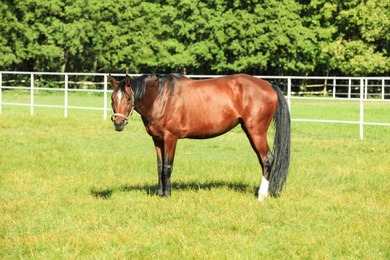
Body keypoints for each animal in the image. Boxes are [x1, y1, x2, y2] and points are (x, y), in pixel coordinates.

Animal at [109, 73, 290, 201]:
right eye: (112, 99)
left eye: (128, 98)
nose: (118, 123)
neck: (160, 97)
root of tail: (269, 85)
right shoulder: (157, 139)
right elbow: (159, 166)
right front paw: (160, 193)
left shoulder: (170, 138)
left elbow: (167, 166)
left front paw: (167, 195)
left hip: (256, 132)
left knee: (267, 159)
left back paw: (261, 195)